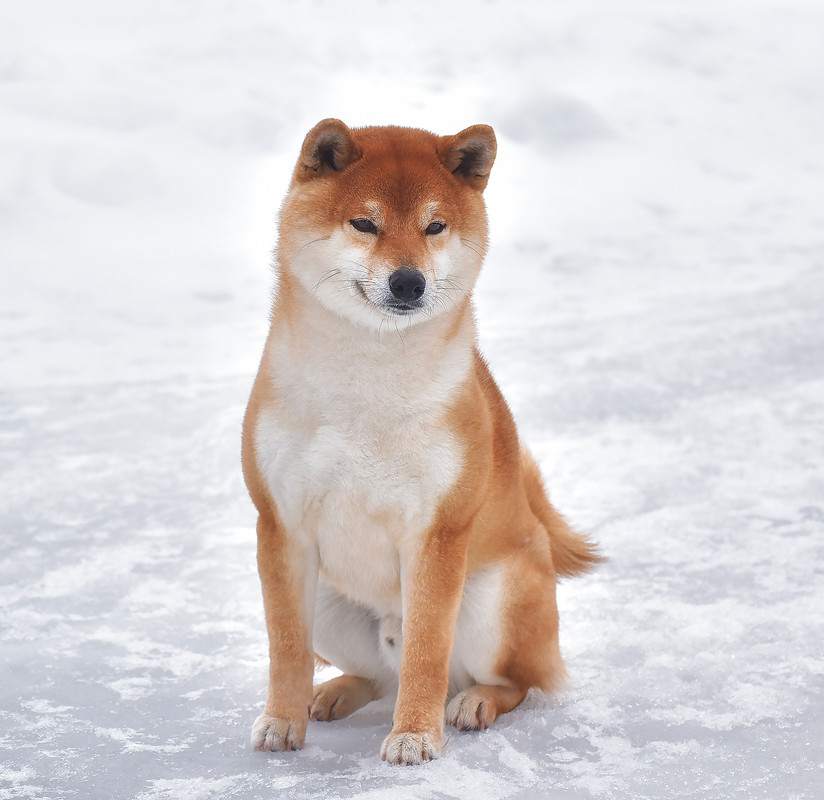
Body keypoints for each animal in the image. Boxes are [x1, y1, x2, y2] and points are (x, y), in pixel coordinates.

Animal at [238, 117, 600, 764]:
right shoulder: (282, 526)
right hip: (329, 604)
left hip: (492, 603)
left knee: (515, 682)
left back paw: (474, 703)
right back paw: (333, 692)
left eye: (435, 227)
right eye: (365, 223)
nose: (408, 282)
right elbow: (286, 650)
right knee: (376, 674)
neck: (367, 385)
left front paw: (413, 737)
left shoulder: (437, 532)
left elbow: (426, 652)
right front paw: (281, 722)